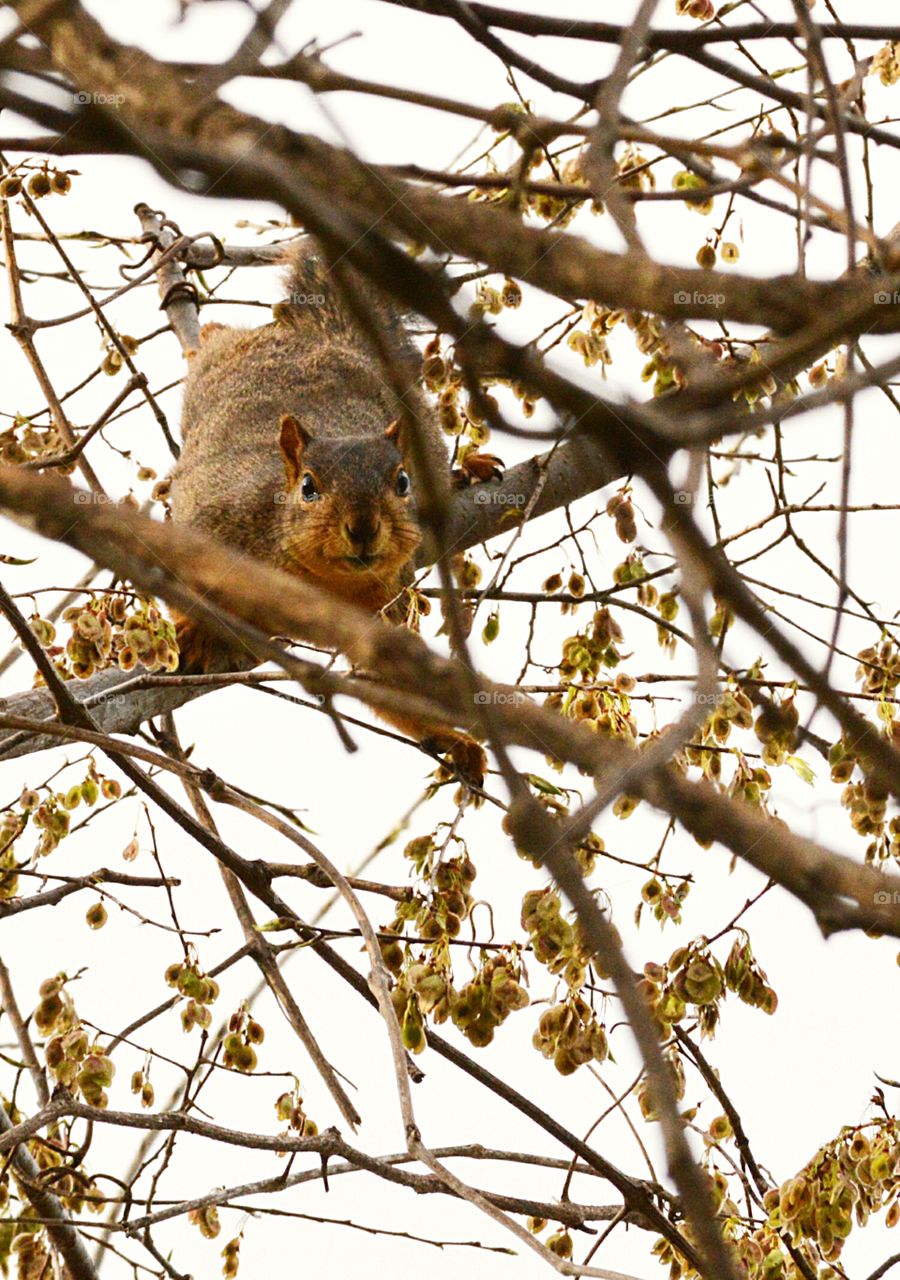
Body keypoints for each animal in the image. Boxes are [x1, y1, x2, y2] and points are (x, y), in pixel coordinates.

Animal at [169, 241, 485, 781]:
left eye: (402, 482)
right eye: (309, 487)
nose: (363, 528)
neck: (319, 584)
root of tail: (326, 334)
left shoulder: (384, 607)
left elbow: (382, 682)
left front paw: (450, 737)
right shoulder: (212, 522)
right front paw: (194, 633)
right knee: (216, 341)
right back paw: (203, 331)